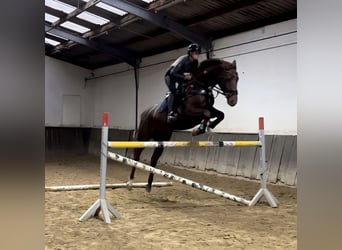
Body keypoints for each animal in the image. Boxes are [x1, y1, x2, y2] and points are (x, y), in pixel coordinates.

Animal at [127, 58, 238, 191]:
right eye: (228, 78)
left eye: (237, 78)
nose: (233, 101)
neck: (200, 87)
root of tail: (144, 112)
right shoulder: (190, 112)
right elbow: (206, 113)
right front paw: (199, 129)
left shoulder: (210, 109)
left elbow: (221, 114)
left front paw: (209, 126)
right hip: (144, 135)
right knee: (136, 155)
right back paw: (130, 182)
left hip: (163, 136)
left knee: (154, 158)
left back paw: (149, 185)